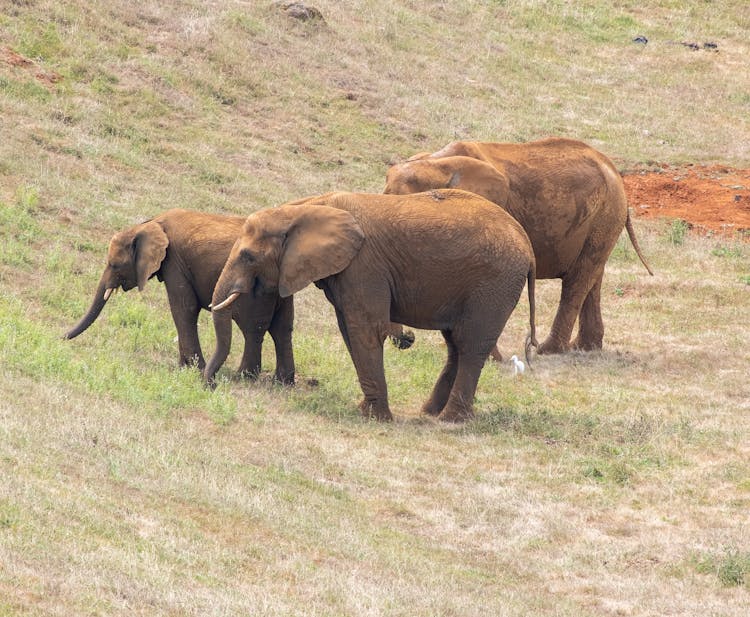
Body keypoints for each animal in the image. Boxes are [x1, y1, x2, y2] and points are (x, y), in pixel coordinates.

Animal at [62, 208, 296, 380]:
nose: (60, 337)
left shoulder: (174, 261)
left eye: (114, 265)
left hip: (253, 288)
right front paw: (184, 366)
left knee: (253, 328)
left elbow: (184, 307)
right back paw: (280, 382)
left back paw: (244, 378)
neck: (151, 223)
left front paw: (192, 368)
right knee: (281, 328)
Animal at [203, 190, 536, 422]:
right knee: (456, 344)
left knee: (471, 345)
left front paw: (375, 418)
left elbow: (365, 329)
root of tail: (528, 245)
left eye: (248, 256)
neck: (307, 206)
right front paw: (365, 409)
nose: (211, 385)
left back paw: (450, 420)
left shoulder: (363, 265)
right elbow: (349, 330)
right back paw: (428, 412)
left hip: (494, 284)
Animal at [384, 137, 656, 354]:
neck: (435, 164)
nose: (408, 339)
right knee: (592, 277)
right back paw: (584, 348)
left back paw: (549, 351)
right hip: (602, 219)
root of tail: (613, 169)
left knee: (578, 280)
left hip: (605, 214)